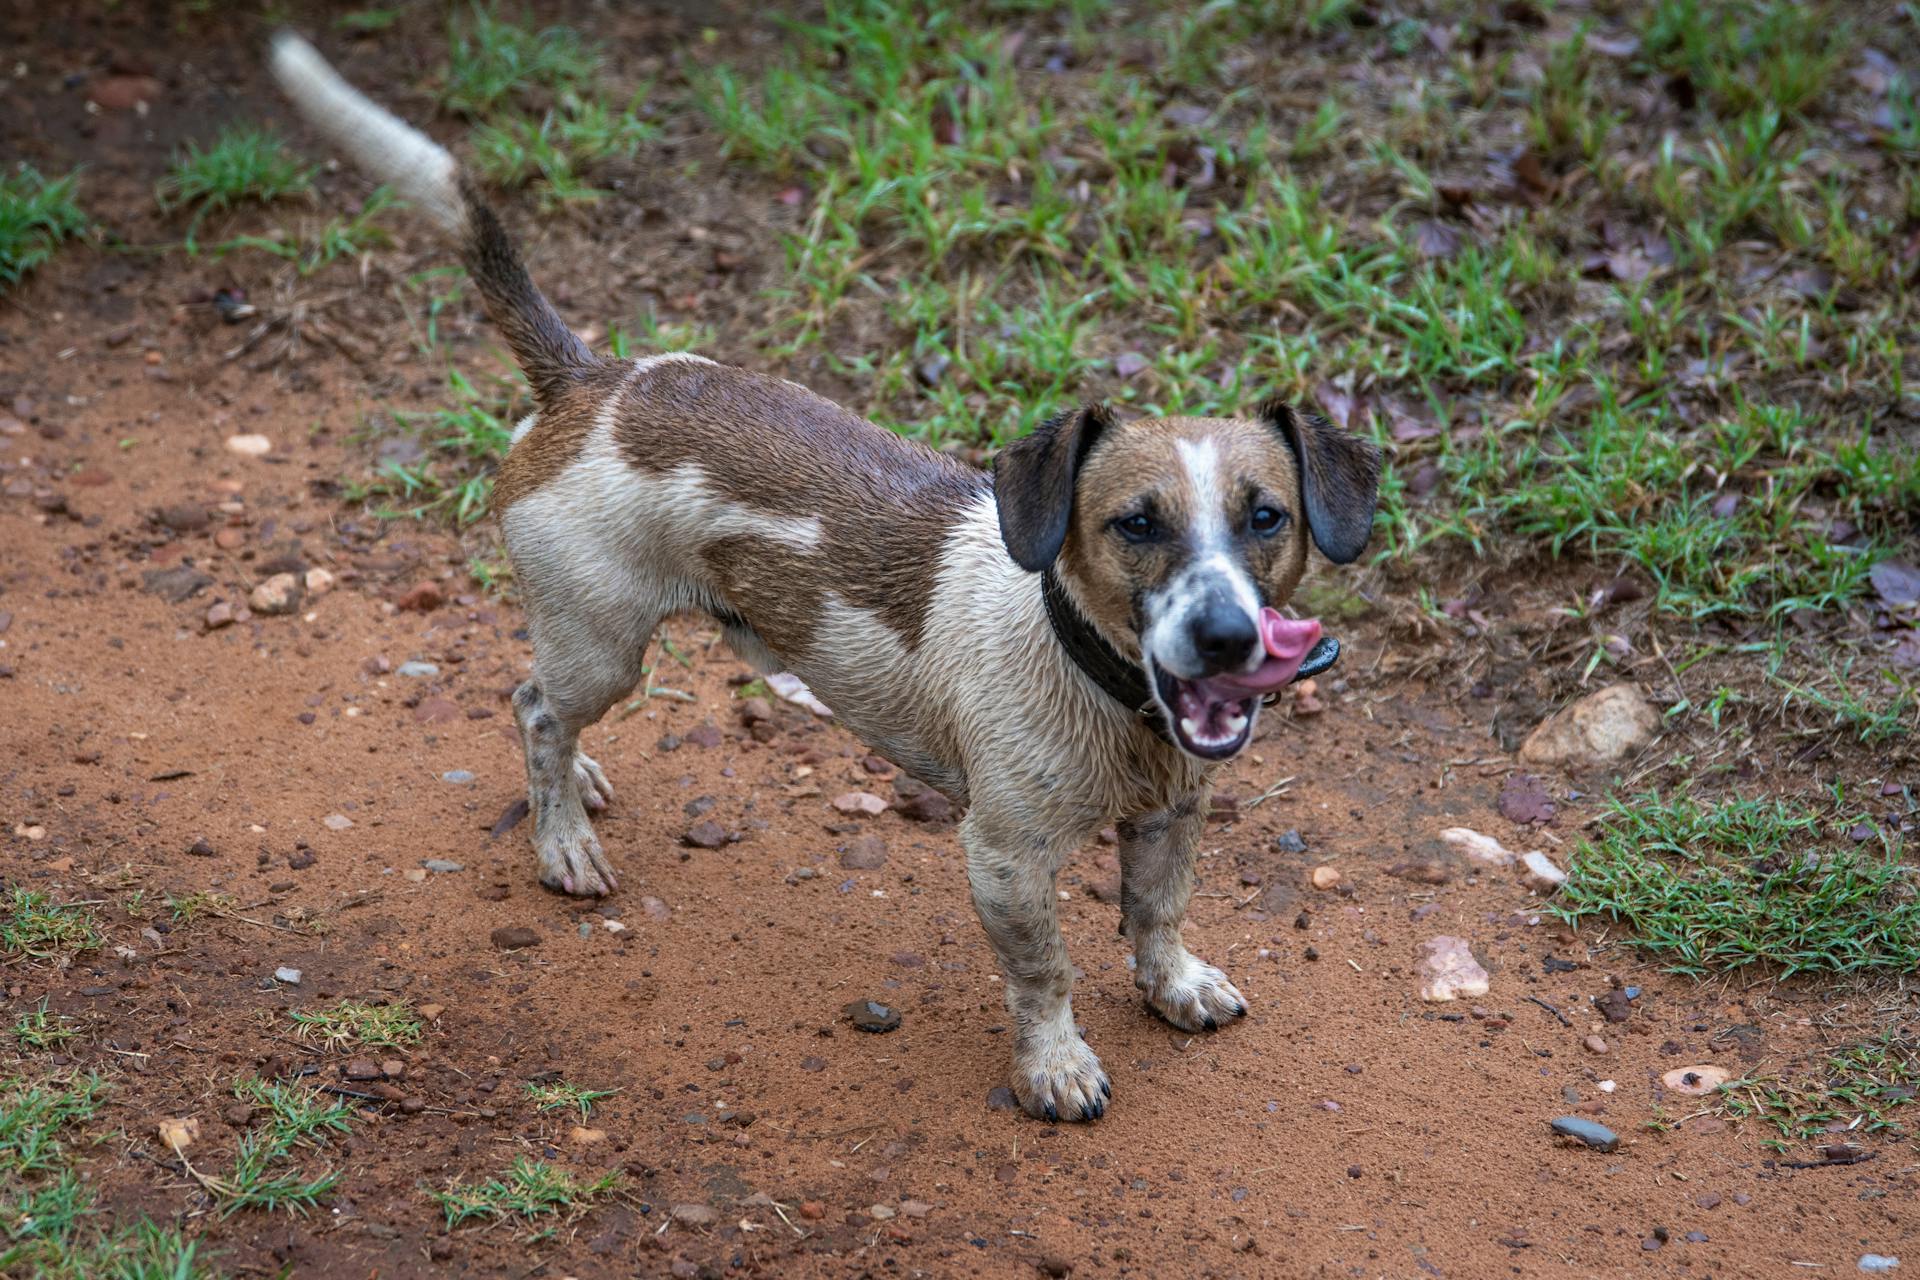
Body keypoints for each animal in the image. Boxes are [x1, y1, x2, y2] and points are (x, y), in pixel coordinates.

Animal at [270, 32, 1382, 1120]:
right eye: (1136, 524)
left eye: (1266, 518)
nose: (1227, 637)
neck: (1100, 683)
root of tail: (590, 381)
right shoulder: (1006, 857)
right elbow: (1045, 972)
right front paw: (1055, 1066)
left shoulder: (1173, 816)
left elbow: (1157, 913)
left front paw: (1174, 984)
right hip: (603, 642)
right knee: (536, 706)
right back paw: (563, 841)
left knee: (533, 699)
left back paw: (578, 786)